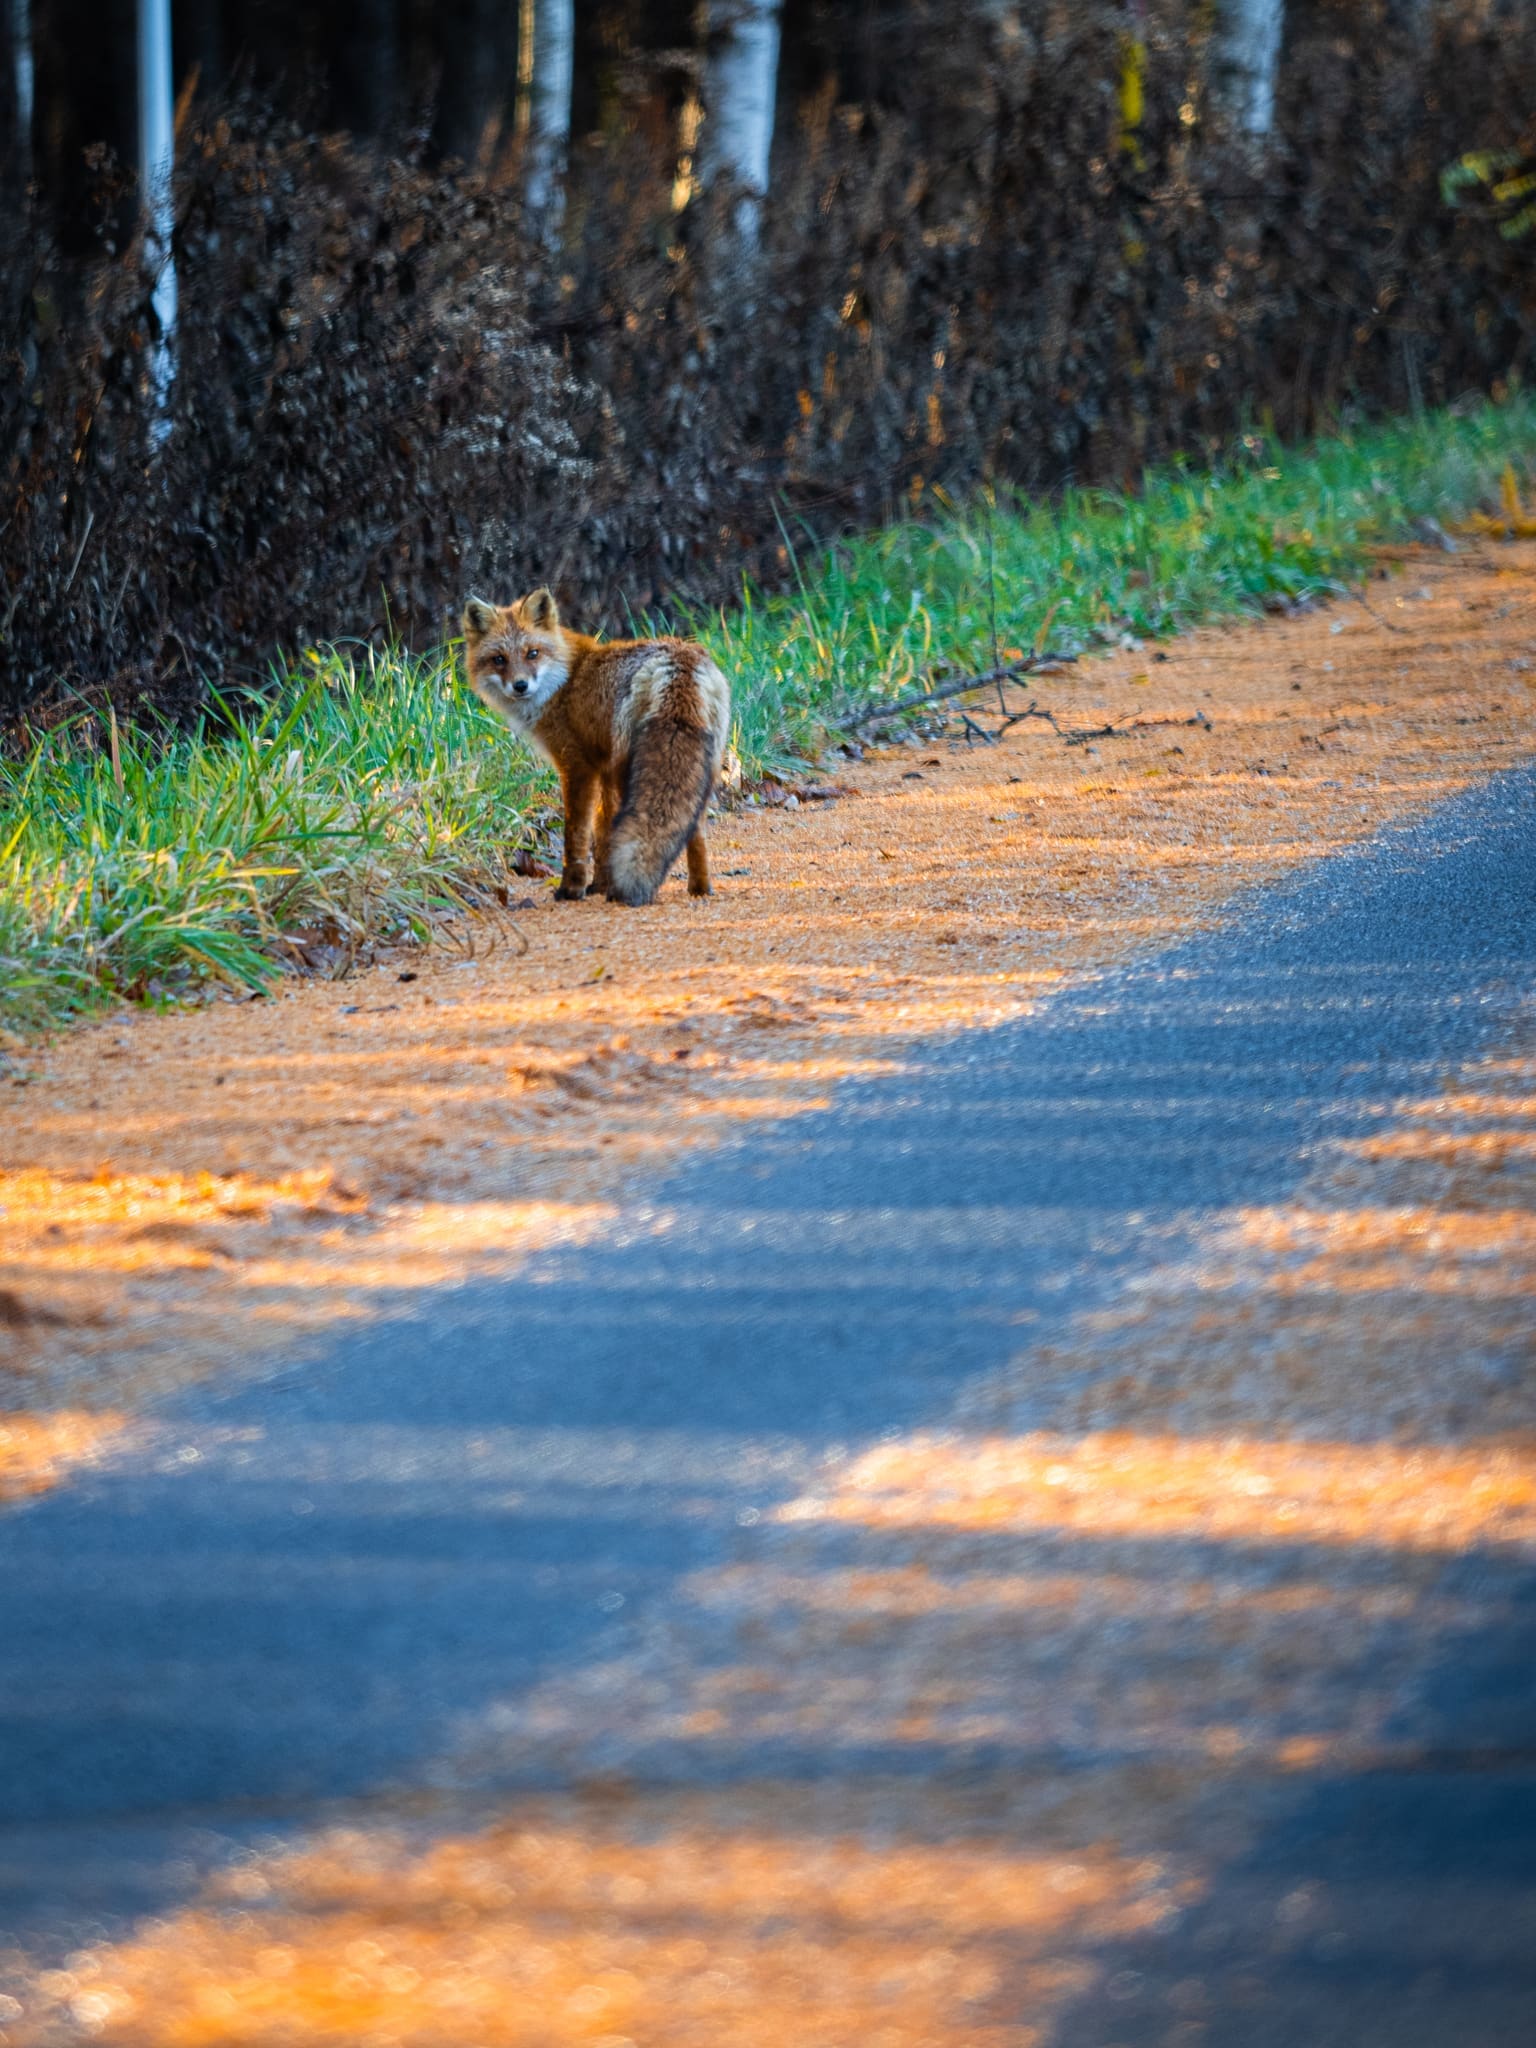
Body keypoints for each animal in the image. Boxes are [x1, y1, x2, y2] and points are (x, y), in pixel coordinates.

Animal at [461, 588, 732, 907]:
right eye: (499, 659)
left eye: (532, 653)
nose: (520, 685)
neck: (566, 680)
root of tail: (677, 660)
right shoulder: (602, 767)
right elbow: (603, 831)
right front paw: (599, 884)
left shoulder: (577, 766)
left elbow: (577, 834)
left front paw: (572, 888)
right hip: (701, 769)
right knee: (694, 828)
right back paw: (700, 887)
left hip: (630, 771)